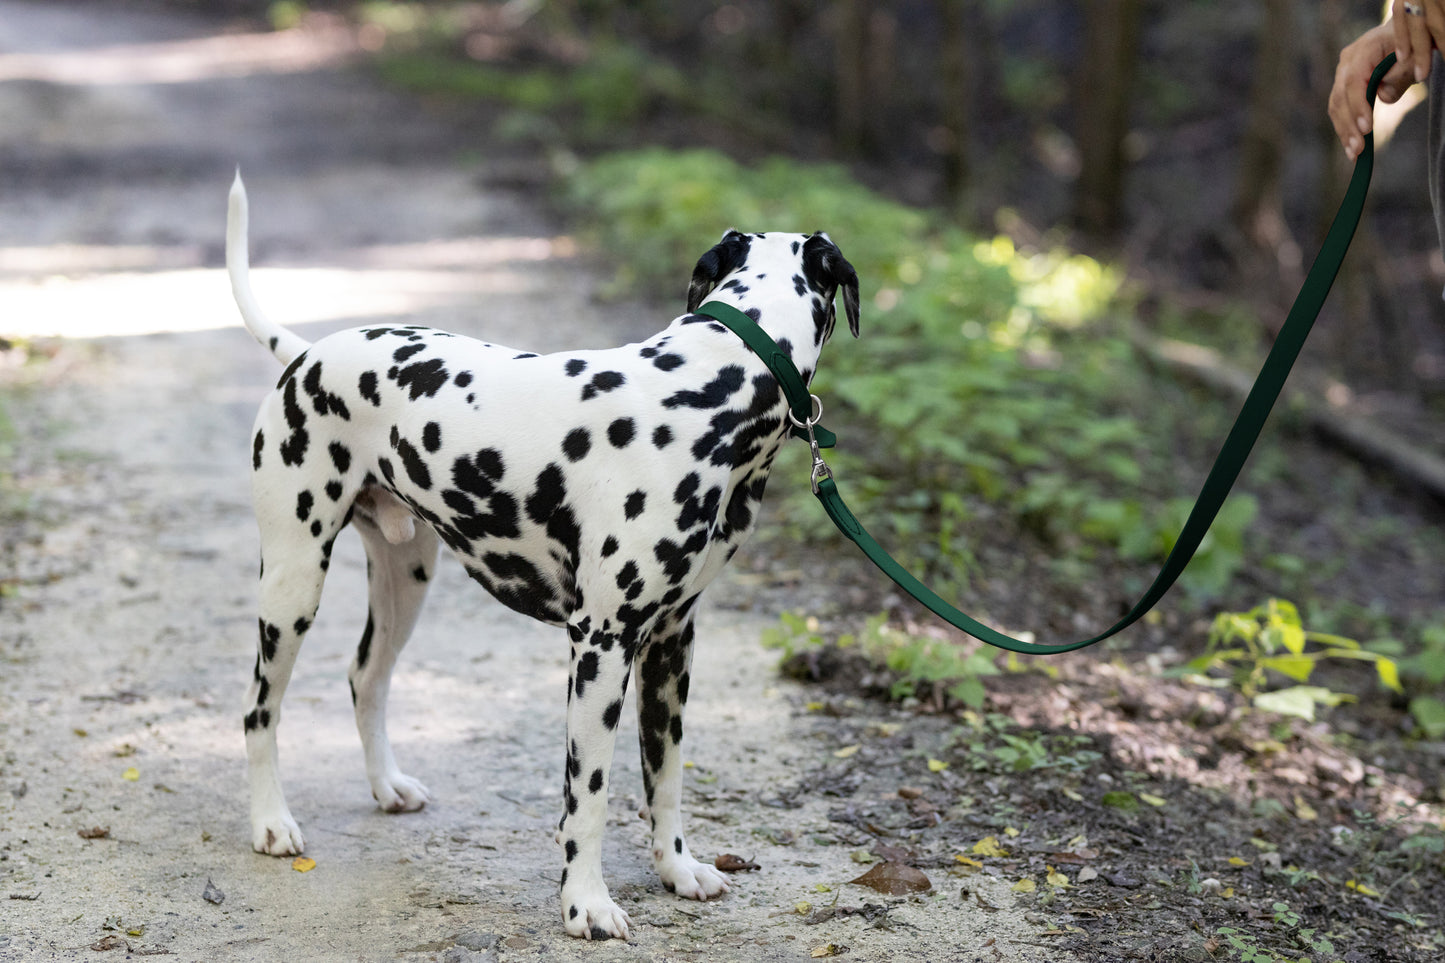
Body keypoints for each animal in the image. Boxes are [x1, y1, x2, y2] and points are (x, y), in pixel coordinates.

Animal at [225, 174, 855, 936]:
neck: (711, 384)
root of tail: (309, 352)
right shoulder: (602, 643)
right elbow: (589, 794)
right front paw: (586, 903)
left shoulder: (671, 642)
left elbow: (665, 778)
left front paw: (677, 869)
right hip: (292, 585)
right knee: (259, 708)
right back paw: (271, 821)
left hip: (406, 581)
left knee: (364, 678)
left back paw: (386, 785)